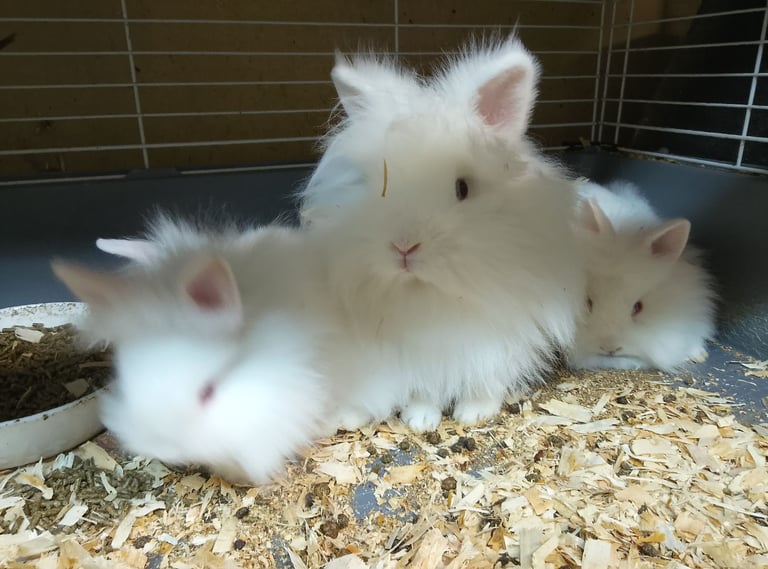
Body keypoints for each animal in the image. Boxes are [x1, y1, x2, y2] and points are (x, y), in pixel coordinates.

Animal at [297, 35, 587, 432]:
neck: (434, 295)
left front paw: (474, 413)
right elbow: (424, 389)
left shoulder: (498, 342)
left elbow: (486, 378)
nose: (404, 246)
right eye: (375, 185)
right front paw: (420, 419)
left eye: (462, 188)